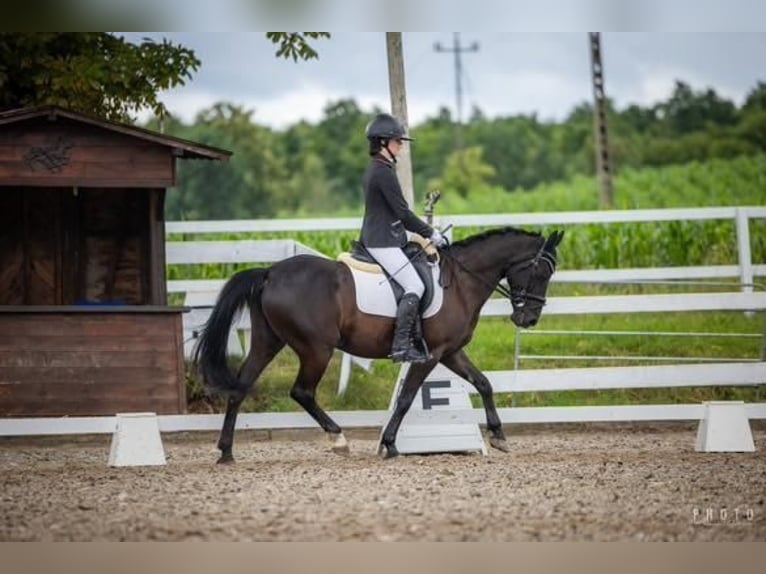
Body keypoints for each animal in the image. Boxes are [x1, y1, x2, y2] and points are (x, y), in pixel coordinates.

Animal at [194, 227, 564, 462]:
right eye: (541, 272)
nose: (529, 319)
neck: (460, 281)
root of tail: (270, 272)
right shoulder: (431, 354)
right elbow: (406, 397)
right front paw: (390, 445)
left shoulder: (450, 351)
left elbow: (484, 383)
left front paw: (498, 435)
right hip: (316, 349)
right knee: (302, 392)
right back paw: (338, 439)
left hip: (267, 341)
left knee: (240, 388)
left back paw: (226, 451)